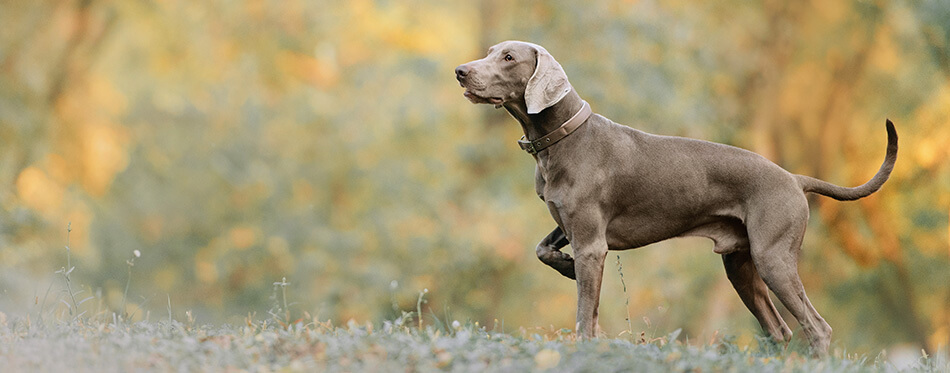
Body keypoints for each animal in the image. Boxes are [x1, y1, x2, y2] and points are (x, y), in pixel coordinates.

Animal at [454, 40, 900, 354]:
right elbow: (542, 249)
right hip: (741, 265)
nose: (460, 71)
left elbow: (585, 314)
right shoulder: (569, 225)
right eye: (490, 52)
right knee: (780, 330)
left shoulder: (592, 243)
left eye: (508, 57)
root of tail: (794, 178)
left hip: (773, 257)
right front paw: (564, 267)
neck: (563, 138)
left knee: (817, 327)